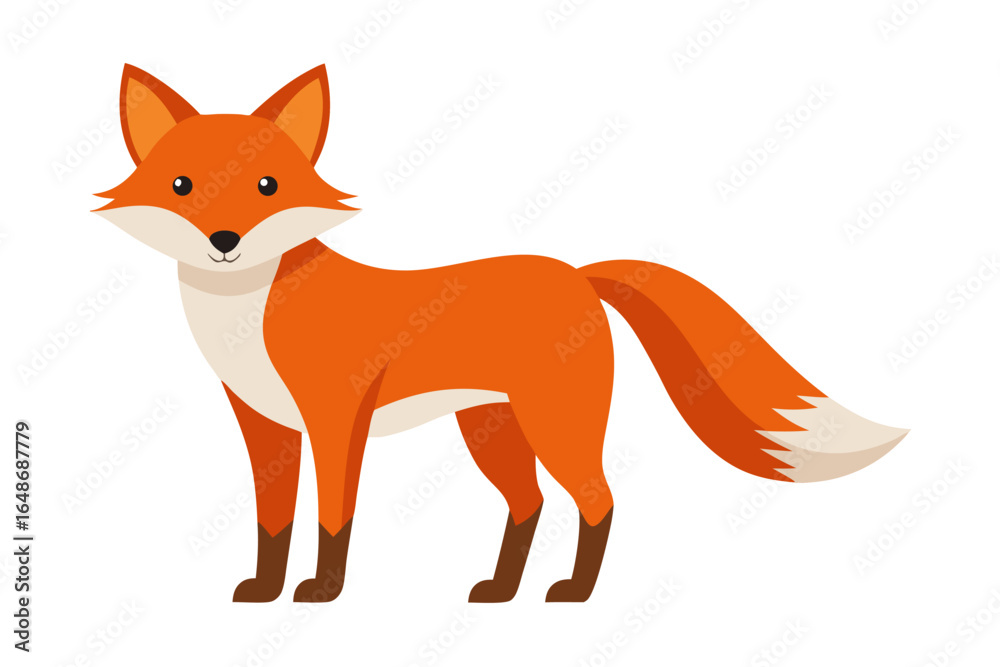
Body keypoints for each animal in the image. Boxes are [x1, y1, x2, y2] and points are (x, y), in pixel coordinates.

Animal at [96, 64, 907, 604]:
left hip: (555, 422)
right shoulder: (264, 424)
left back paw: (574, 592)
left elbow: (332, 518)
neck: (246, 312)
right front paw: (265, 590)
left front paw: (322, 591)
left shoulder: (334, 419)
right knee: (530, 504)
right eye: (182, 187)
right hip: (492, 427)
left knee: (598, 500)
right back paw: (500, 589)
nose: (225, 241)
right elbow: (272, 521)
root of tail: (577, 272)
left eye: (267, 186)